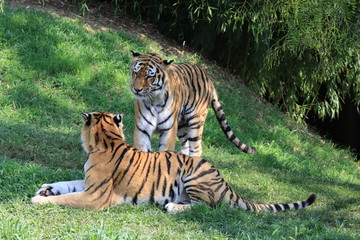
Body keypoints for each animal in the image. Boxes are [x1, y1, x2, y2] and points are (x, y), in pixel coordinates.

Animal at [31, 110, 318, 212]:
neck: (106, 140)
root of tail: (224, 181)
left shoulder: (96, 195)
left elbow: (67, 198)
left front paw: (39, 200)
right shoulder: (89, 182)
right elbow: (67, 184)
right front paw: (46, 188)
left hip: (193, 177)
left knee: (206, 207)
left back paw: (173, 207)